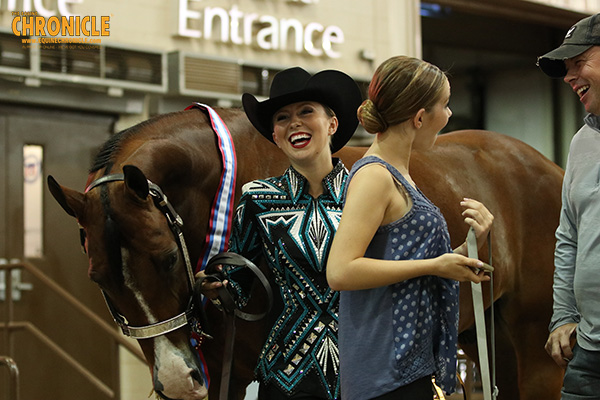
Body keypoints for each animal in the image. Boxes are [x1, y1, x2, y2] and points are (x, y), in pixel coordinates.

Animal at [48, 107, 568, 400]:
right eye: (99, 278)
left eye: (167, 259)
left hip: (536, 347)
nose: (177, 381)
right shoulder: (217, 370)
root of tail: (549, 166)